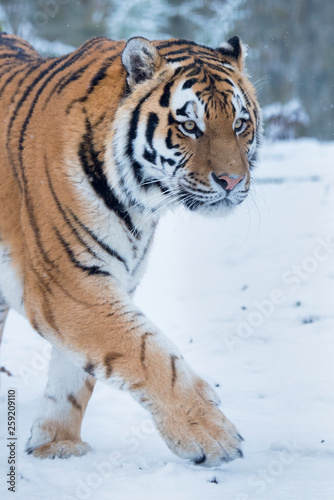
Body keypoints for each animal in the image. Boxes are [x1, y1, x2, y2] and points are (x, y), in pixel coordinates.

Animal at [0, 33, 260, 466]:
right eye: (190, 126)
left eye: (240, 124)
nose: (232, 180)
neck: (139, 204)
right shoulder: (68, 285)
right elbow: (148, 354)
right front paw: (211, 436)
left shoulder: (113, 279)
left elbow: (76, 378)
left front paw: (57, 446)